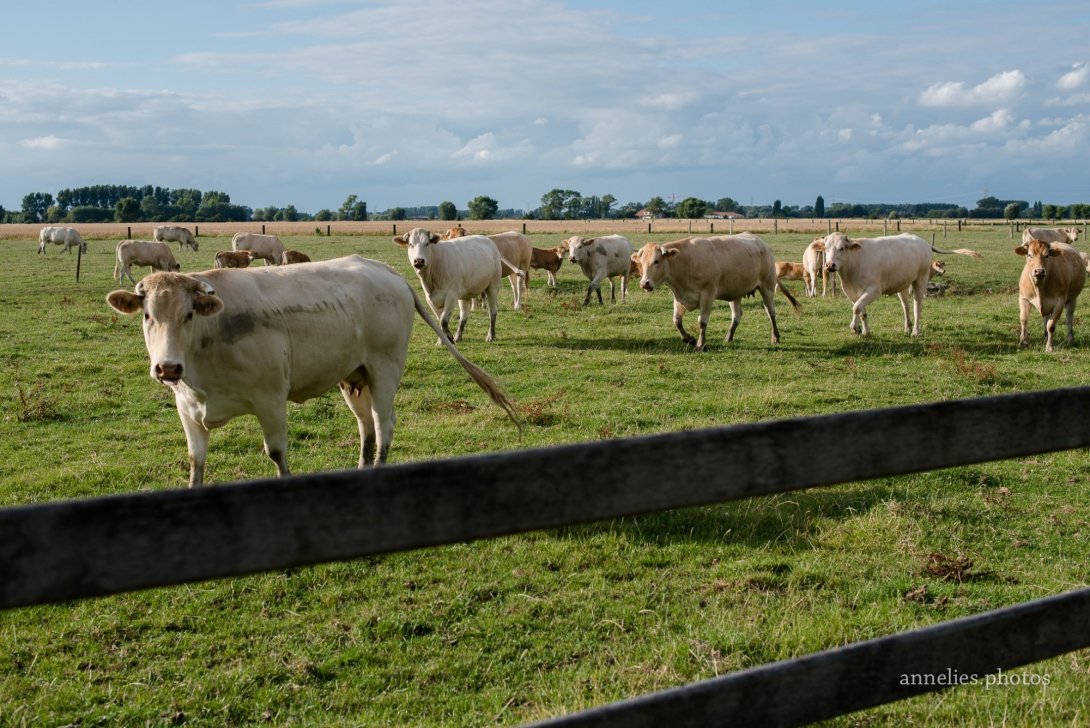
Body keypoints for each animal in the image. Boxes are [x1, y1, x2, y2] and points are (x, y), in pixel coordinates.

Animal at [632, 234, 802, 350]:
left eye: (656, 261)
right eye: (642, 262)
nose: (644, 283)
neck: (685, 262)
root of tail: (762, 243)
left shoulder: (708, 295)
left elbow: (702, 322)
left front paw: (700, 345)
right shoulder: (679, 296)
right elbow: (677, 321)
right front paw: (689, 339)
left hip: (767, 287)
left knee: (771, 312)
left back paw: (776, 337)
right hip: (736, 292)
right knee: (736, 316)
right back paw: (729, 337)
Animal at [815, 233, 985, 335]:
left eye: (841, 248)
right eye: (826, 249)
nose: (830, 265)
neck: (855, 262)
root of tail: (923, 242)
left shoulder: (874, 290)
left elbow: (856, 307)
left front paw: (855, 328)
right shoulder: (853, 292)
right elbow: (861, 311)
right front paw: (865, 332)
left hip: (920, 280)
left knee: (917, 306)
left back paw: (915, 331)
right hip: (903, 285)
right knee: (906, 306)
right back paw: (907, 327)